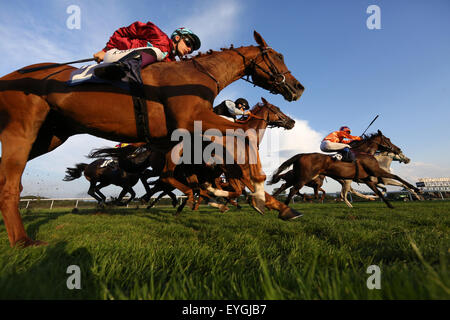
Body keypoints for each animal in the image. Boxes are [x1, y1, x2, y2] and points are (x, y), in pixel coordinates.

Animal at [0, 31, 304, 248]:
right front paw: (255, 189)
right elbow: (241, 142)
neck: (195, 76)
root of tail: (8, 76)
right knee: (9, 183)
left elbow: (237, 159)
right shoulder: (191, 121)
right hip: (22, 129)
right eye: (277, 56)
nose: (298, 87)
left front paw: (279, 206)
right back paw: (23, 241)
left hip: (50, 135)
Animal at [268, 131, 420, 209]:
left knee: (285, 188)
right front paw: (417, 189)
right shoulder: (377, 172)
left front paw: (390, 205)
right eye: (388, 139)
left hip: (298, 178)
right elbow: (397, 177)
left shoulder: (368, 179)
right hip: (303, 178)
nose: (398, 149)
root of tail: (301, 155)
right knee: (292, 190)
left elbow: (379, 191)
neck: (365, 153)